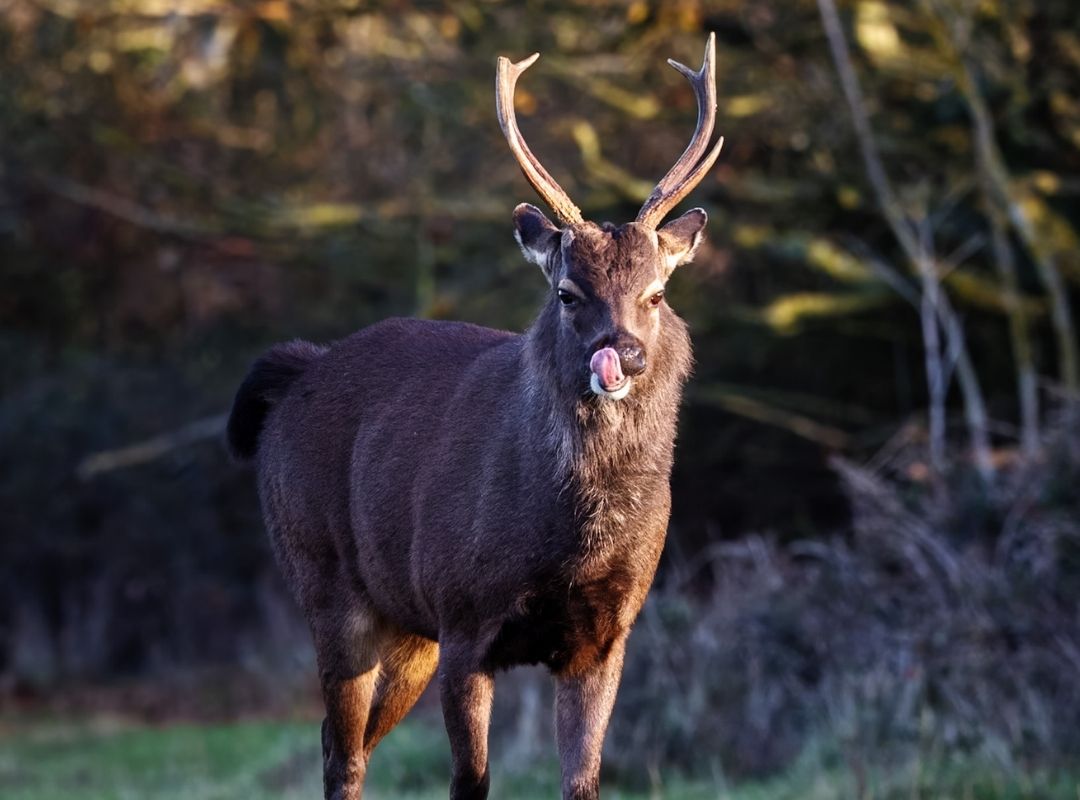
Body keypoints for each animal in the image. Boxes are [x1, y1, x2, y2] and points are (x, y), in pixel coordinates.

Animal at [226, 34, 724, 800]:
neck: (567, 542)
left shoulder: (606, 637)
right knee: (341, 750)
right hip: (323, 573)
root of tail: (298, 373)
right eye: (567, 292)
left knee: (345, 740)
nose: (626, 356)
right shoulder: (464, 619)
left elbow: (583, 783)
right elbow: (471, 781)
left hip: (409, 629)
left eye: (658, 293)